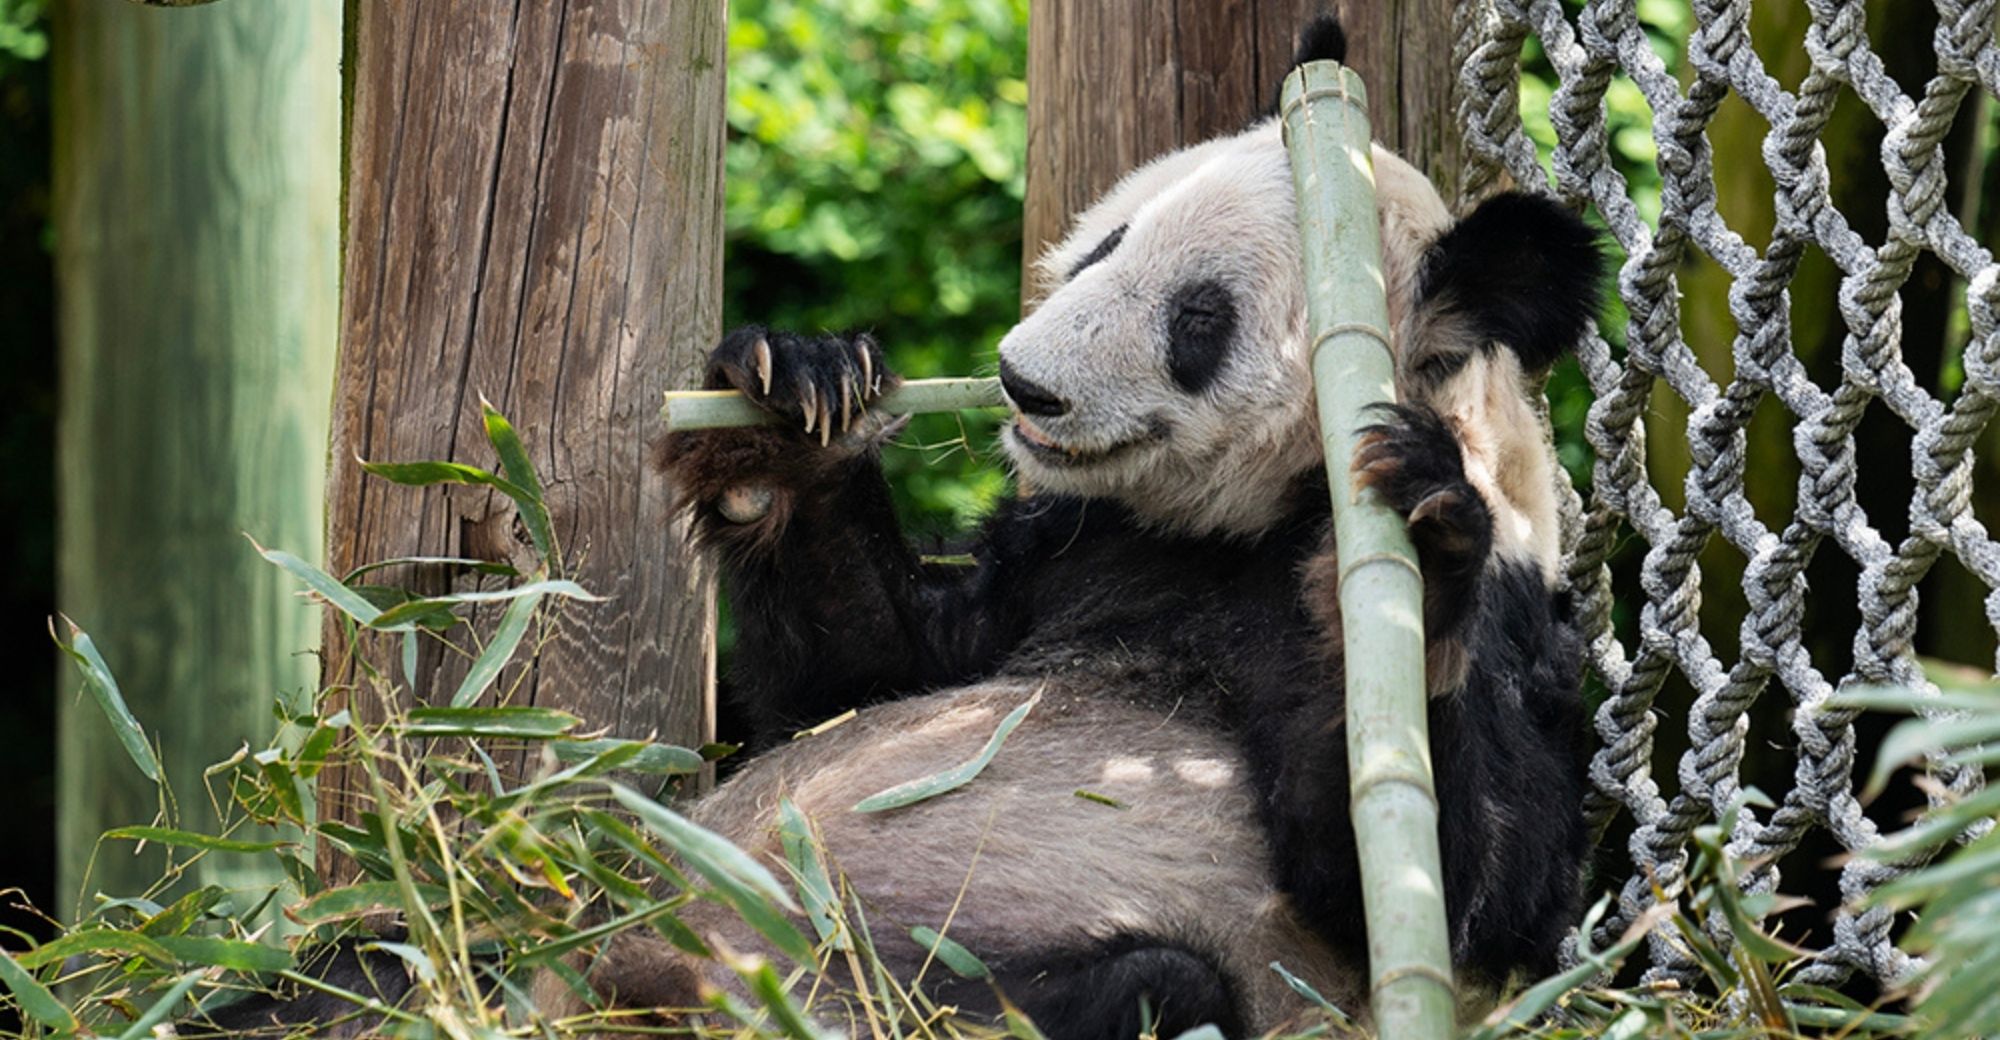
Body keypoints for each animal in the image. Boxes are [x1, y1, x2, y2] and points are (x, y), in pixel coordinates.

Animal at [199, 14, 1608, 1040]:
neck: (1235, 526)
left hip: (914, 975)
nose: (1024, 384)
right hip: (507, 925)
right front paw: (791, 402)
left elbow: (1457, 888)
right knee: (356, 966)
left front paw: (1422, 538)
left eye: (1198, 318)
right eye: (1105, 243)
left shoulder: (1506, 630)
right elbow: (865, 674)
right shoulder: (1066, 548)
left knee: (1135, 990)